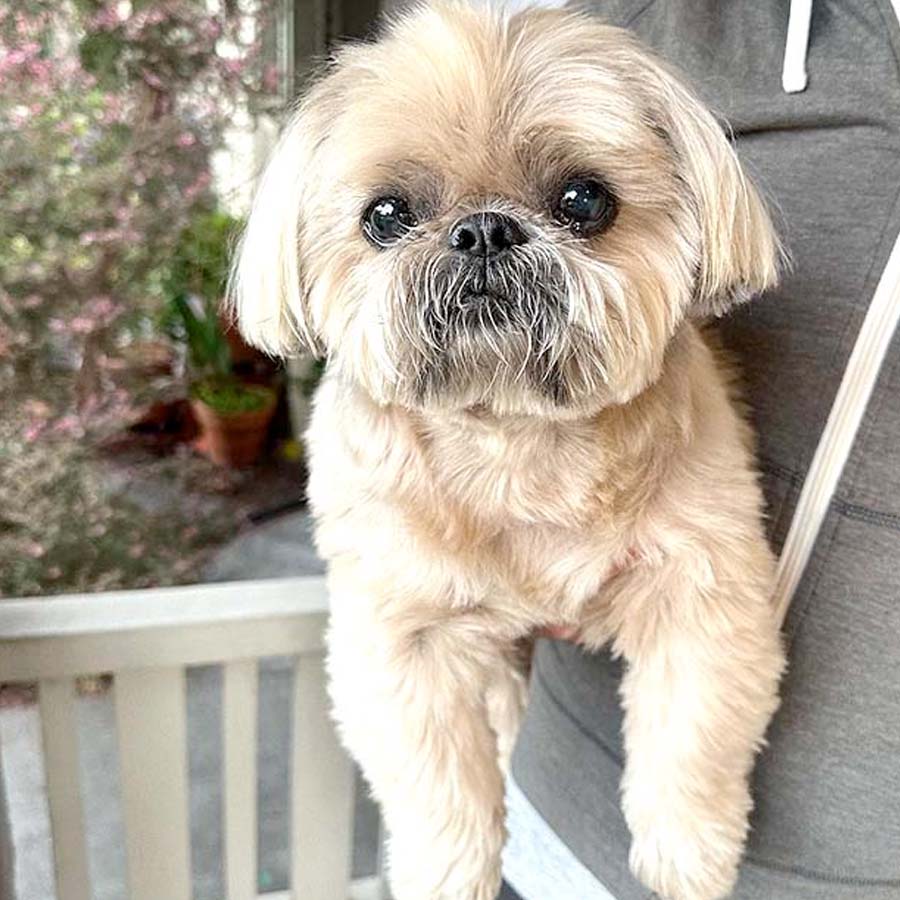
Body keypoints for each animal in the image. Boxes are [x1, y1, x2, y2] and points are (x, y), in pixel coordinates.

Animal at [229, 3, 784, 896]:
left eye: (585, 199)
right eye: (385, 216)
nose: (483, 229)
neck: (515, 439)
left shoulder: (704, 590)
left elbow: (692, 734)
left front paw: (688, 853)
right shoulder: (402, 640)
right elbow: (438, 789)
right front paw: (447, 874)